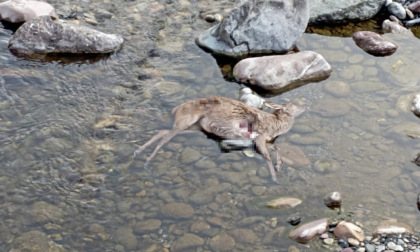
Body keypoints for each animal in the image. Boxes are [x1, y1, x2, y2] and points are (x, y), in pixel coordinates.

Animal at [135, 95, 306, 182]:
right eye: (293, 105)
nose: (305, 107)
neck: (276, 126)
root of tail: (176, 109)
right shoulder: (259, 137)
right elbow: (267, 155)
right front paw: (274, 177)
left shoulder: (260, 139)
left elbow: (277, 147)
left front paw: (279, 165)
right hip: (185, 121)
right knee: (165, 138)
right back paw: (146, 162)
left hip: (193, 128)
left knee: (162, 131)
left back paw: (138, 151)